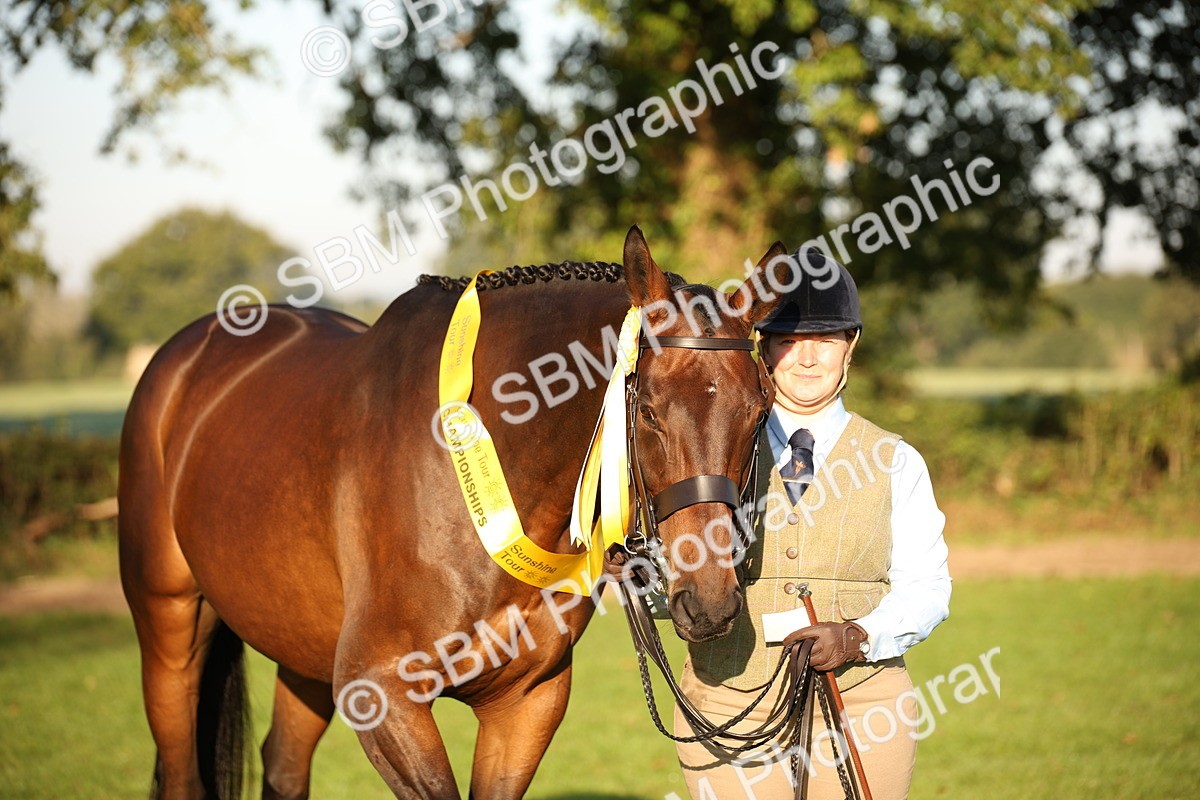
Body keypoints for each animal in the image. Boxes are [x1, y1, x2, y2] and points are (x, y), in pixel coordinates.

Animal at [118, 226, 788, 799]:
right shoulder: (380, 694)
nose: (710, 601)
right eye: (647, 410)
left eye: (759, 411)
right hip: (168, 627)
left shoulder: (527, 702)